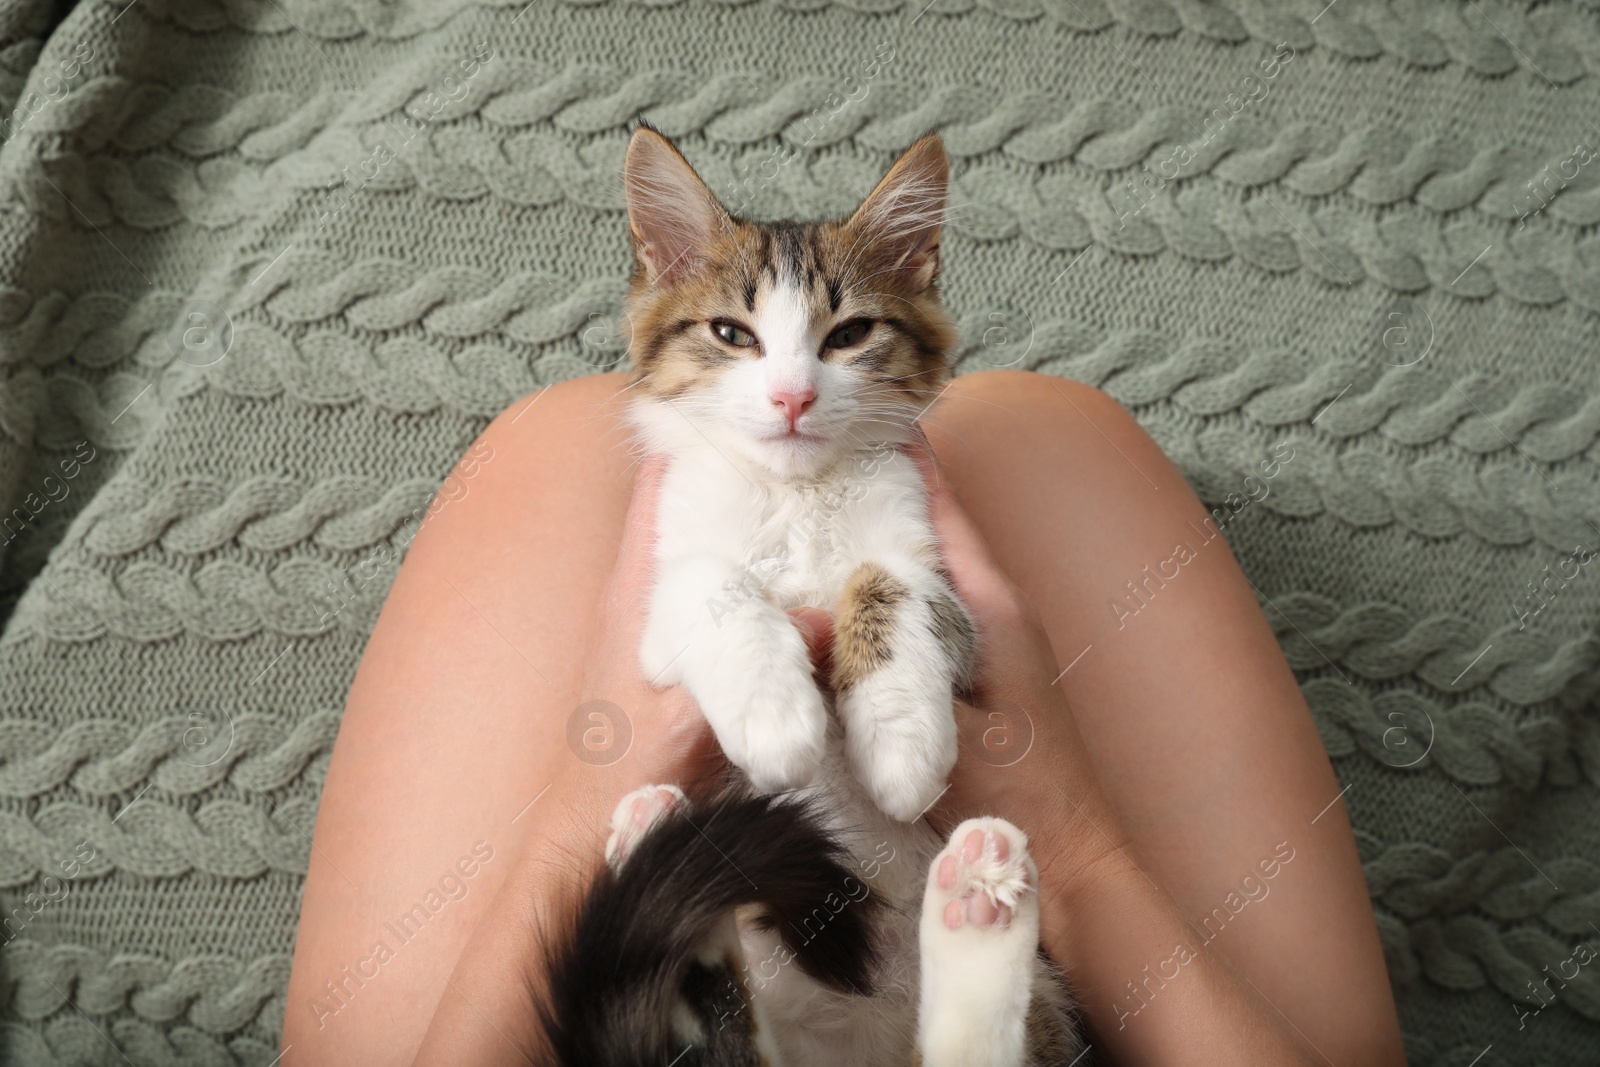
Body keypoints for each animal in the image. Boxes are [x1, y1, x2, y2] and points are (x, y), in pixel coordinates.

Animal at [537, 127, 1088, 1067]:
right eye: (732, 333)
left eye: (850, 333)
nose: (792, 396)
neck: (796, 494)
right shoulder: (661, 588)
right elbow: (711, 582)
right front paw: (776, 715)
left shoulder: (940, 569)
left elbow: (889, 584)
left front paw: (899, 738)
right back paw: (661, 851)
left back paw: (977, 901)